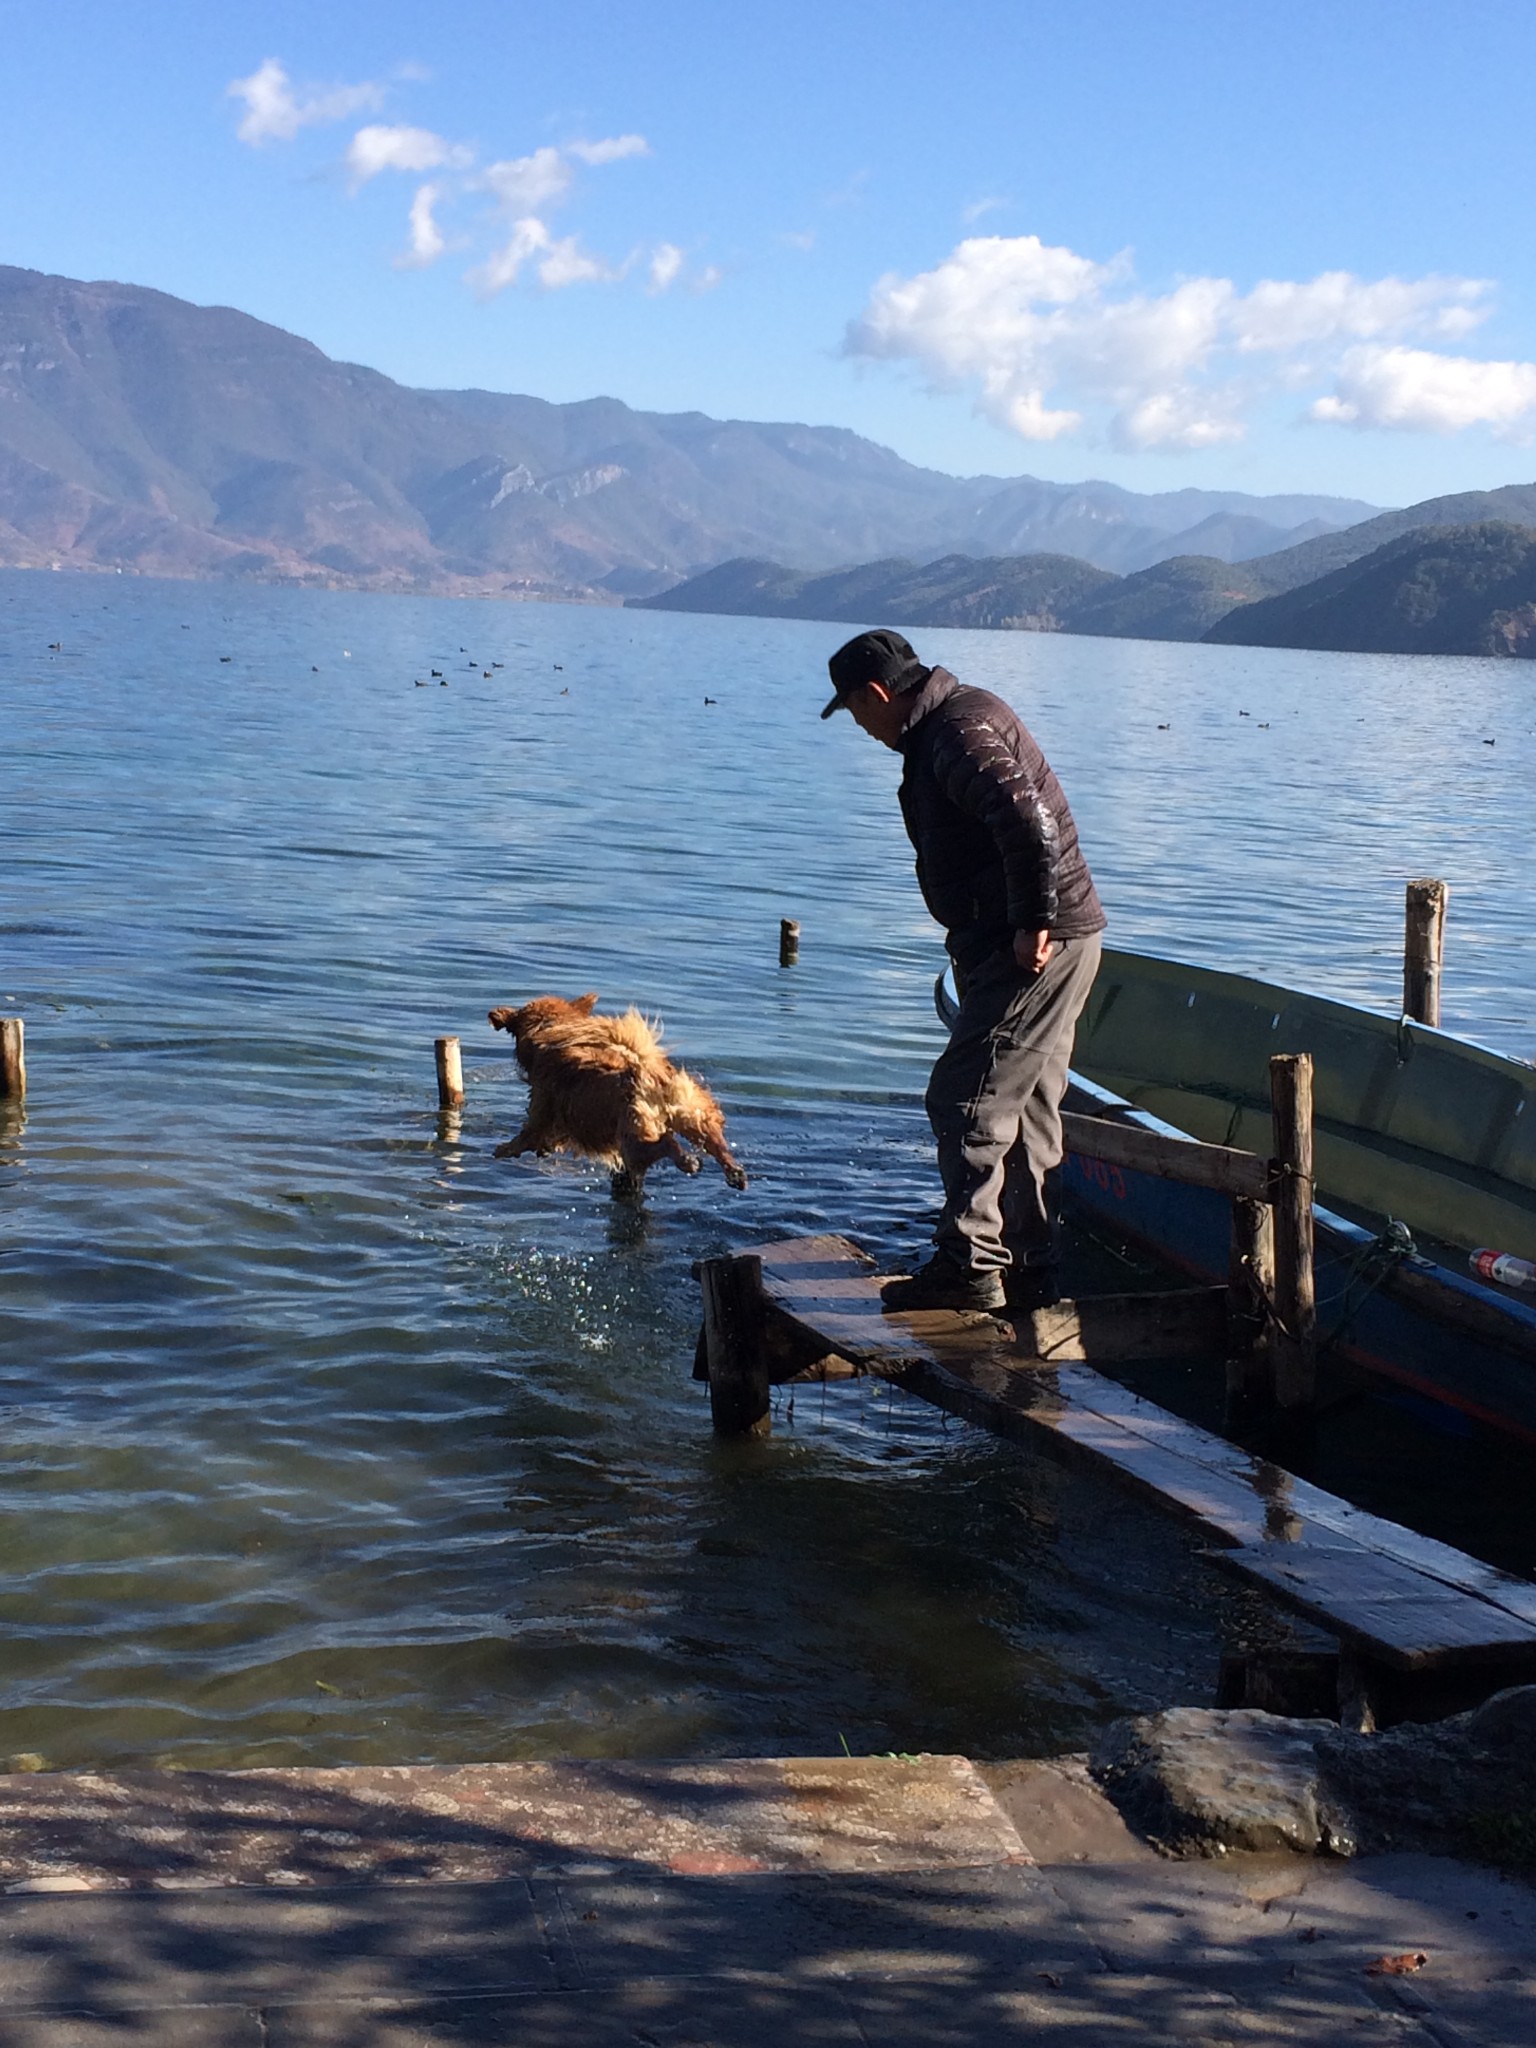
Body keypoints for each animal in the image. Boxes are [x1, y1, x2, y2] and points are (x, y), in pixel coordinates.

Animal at [489, 995, 749, 1196]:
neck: (552, 1029)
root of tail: (646, 1069)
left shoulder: (541, 1113)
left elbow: (525, 1137)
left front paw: (503, 1150)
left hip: (632, 1138)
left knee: (664, 1143)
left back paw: (687, 1161)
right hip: (692, 1112)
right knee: (715, 1141)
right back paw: (734, 1172)